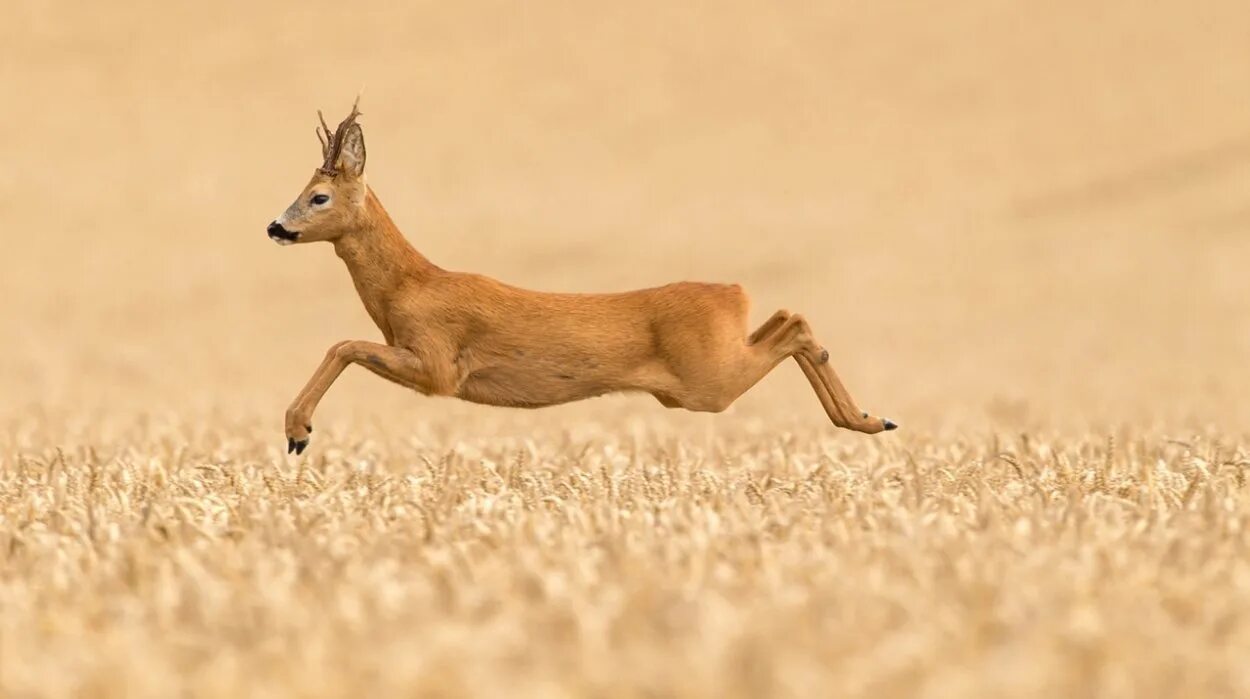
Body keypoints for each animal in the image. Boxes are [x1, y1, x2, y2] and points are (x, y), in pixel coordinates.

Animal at [268, 101, 895, 457]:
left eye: (318, 196)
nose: (275, 226)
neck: (410, 287)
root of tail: (732, 292)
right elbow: (344, 344)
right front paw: (297, 432)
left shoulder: (439, 364)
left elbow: (343, 344)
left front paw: (298, 432)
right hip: (702, 375)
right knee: (788, 316)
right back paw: (869, 418)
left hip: (706, 383)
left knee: (793, 324)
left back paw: (870, 419)